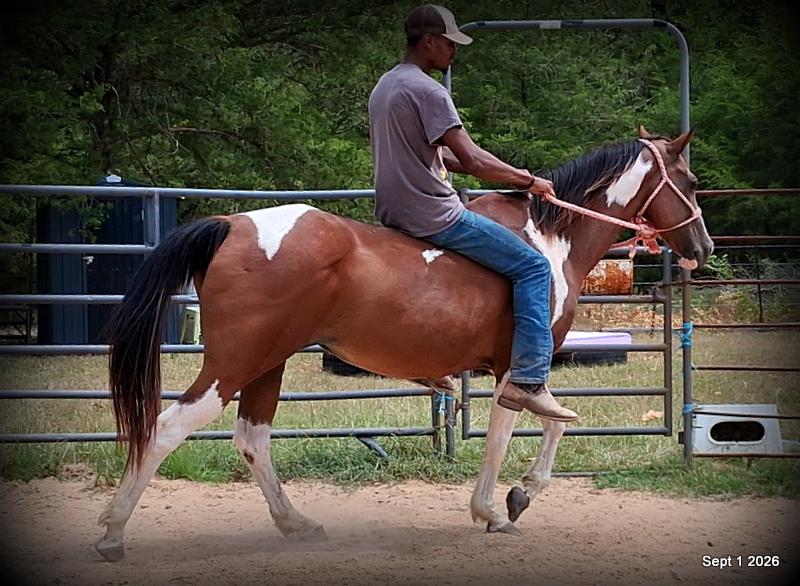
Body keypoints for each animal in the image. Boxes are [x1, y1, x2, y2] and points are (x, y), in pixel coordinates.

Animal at [95, 127, 713, 561]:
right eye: (690, 182)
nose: (702, 247)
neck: (549, 237)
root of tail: (232, 223)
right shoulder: (518, 369)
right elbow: (522, 430)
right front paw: (499, 507)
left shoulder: (512, 369)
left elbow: (549, 424)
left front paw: (513, 498)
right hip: (236, 362)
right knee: (167, 427)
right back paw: (112, 534)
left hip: (267, 363)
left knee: (253, 438)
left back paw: (297, 525)